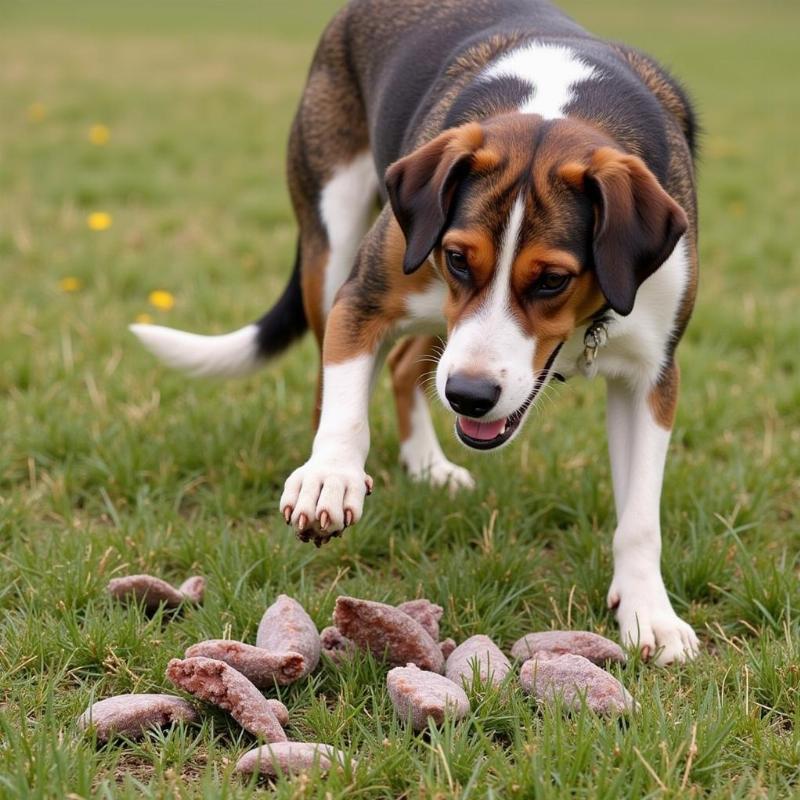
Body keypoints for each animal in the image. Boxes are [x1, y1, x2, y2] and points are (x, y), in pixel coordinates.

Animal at [131, 0, 700, 664]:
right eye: (457, 258)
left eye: (554, 280)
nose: (470, 397)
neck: (559, 105)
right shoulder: (364, 299)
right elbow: (346, 404)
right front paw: (331, 476)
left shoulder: (652, 375)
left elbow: (640, 517)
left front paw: (648, 612)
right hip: (339, 247)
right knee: (330, 386)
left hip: (440, 327)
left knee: (407, 367)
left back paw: (427, 464)